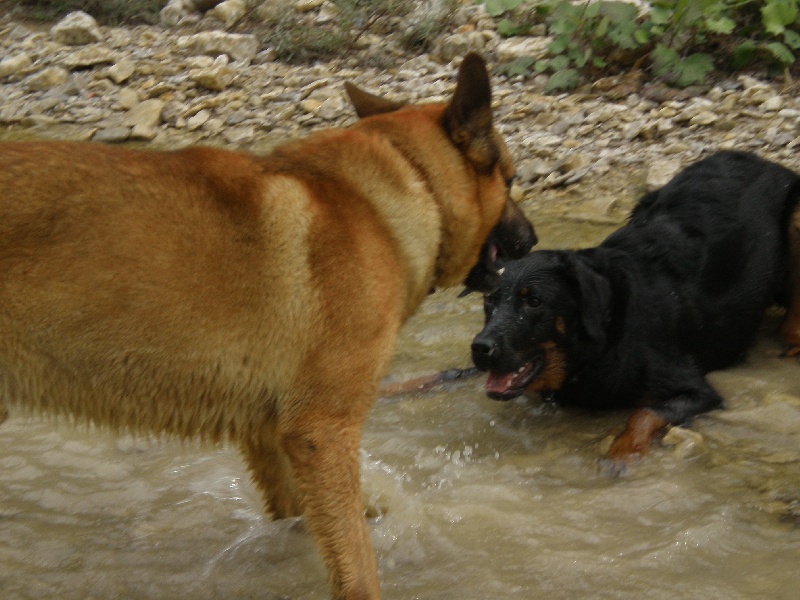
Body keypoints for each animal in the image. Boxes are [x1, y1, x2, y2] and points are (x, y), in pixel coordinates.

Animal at [0, 54, 536, 596]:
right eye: (512, 180)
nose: (533, 240)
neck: (407, 183)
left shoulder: (270, 438)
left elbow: (305, 523)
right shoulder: (322, 433)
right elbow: (357, 560)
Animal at [472, 151, 800, 468]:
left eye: (534, 302)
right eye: (490, 301)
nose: (480, 347)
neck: (603, 342)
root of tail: (760, 160)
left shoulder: (697, 391)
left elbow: (643, 413)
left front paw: (621, 454)